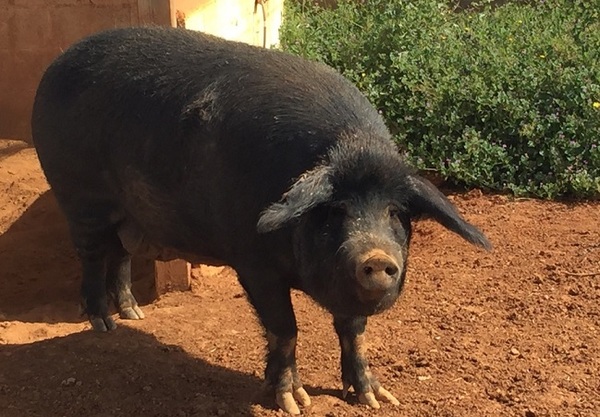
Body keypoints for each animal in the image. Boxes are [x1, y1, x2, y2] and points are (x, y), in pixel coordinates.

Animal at [32, 26, 490, 412]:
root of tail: (56, 64)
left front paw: (377, 399)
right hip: (78, 197)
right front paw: (293, 403)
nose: (376, 258)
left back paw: (133, 315)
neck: (351, 147)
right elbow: (284, 328)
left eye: (395, 213)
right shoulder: (254, 263)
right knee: (93, 256)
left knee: (122, 254)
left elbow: (353, 331)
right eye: (335, 211)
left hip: (126, 215)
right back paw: (103, 324)